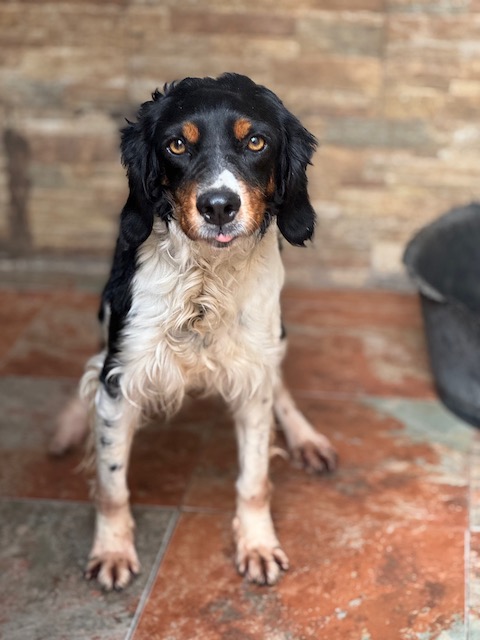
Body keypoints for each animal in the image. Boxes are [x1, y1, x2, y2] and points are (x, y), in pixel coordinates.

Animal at [51, 73, 337, 590]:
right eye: (177, 144)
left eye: (256, 141)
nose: (219, 206)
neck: (205, 283)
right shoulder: (120, 377)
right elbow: (111, 482)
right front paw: (112, 550)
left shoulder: (253, 375)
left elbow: (255, 479)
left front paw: (257, 544)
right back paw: (68, 425)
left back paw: (307, 438)